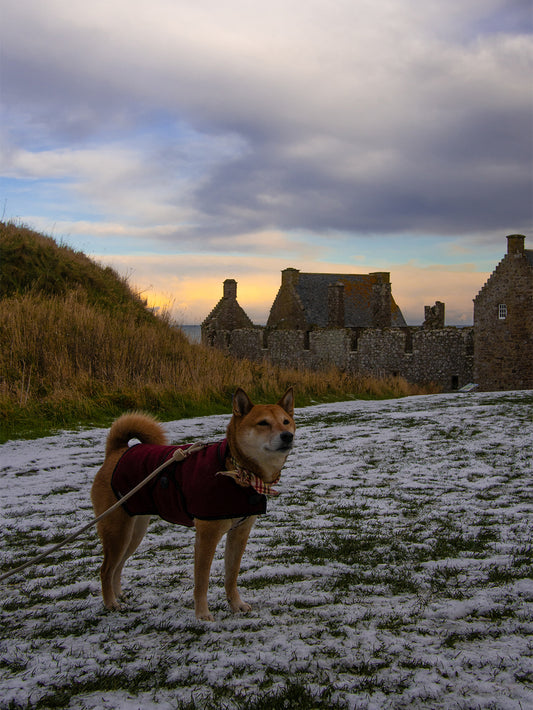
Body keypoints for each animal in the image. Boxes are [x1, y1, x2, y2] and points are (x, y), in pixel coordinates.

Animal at [89, 390, 294, 624]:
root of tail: (117, 452)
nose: (288, 436)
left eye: (286, 421)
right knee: (106, 569)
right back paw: (110, 602)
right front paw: (202, 614)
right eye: (263, 423)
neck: (237, 470)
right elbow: (202, 580)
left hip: (134, 531)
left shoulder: (240, 533)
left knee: (118, 565)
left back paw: (118, 594)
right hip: (117, 530)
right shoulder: (207, 535)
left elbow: (231, 576)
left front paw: (236, 604)